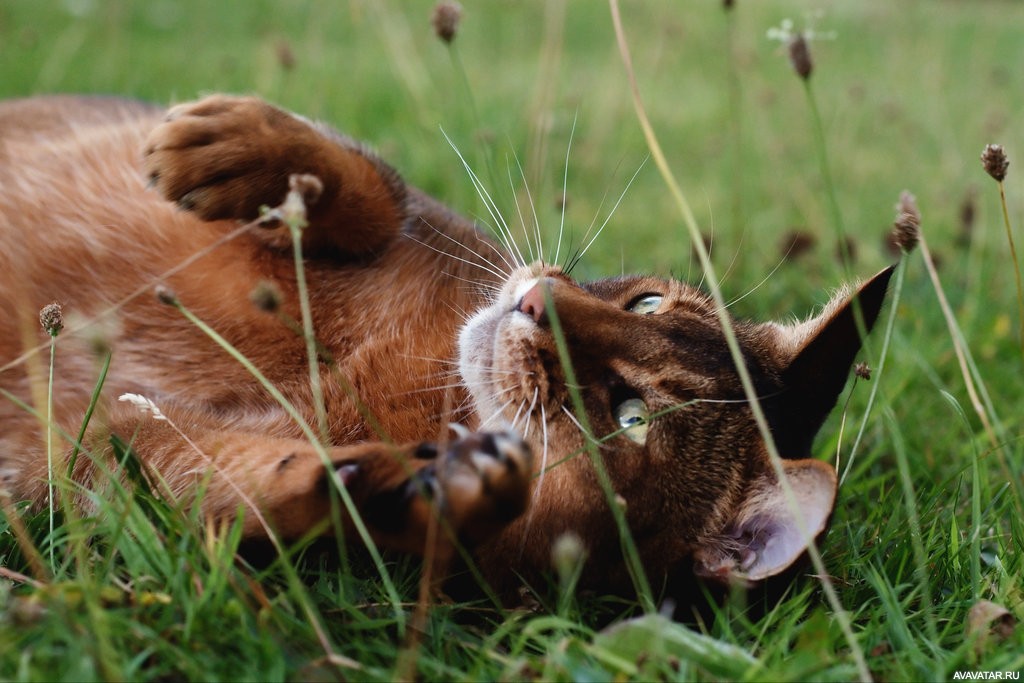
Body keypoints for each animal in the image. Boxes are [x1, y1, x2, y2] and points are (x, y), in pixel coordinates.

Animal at [0, 94, 888, 598]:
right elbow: (373, 192)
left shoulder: (118, 444)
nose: (535, 301)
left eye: (631, 417)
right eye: (646, 299)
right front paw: (229, 139)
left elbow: (239, 482)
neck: (427, 386)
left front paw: (426, 492)